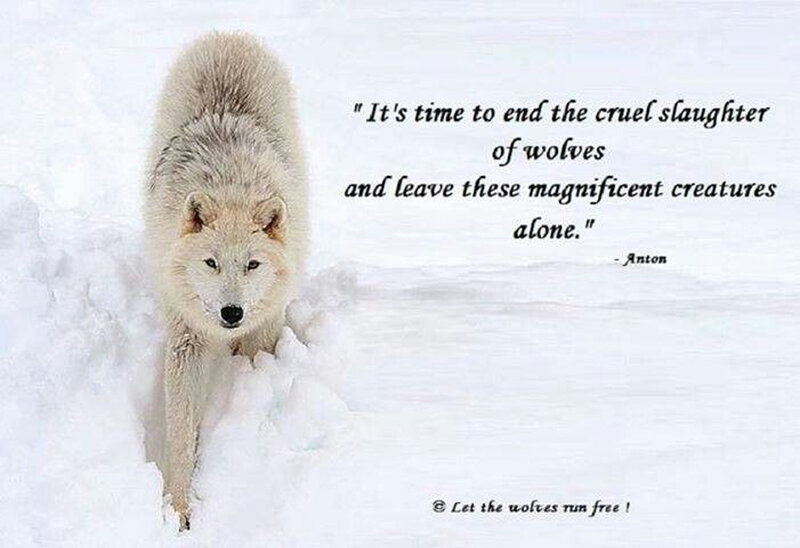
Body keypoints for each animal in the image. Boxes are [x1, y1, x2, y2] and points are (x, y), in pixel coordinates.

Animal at [144, 31, 307, 529]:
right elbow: (180, 433)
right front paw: (178, 510)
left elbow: (252, 366)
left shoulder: (263, 326)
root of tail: (230, 35)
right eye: (211, 263)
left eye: (252, 265)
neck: (231, 186)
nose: (231, 312)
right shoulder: (186, 337)